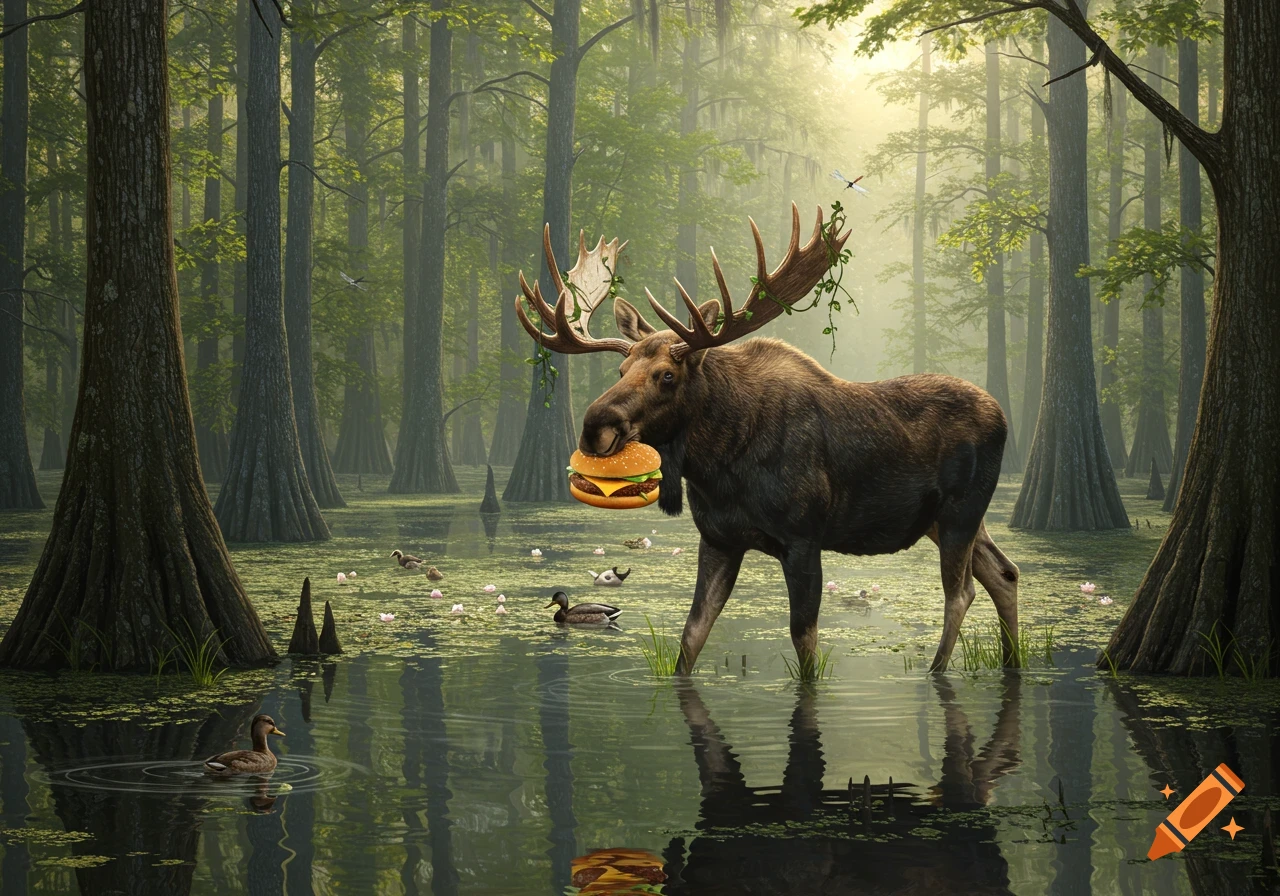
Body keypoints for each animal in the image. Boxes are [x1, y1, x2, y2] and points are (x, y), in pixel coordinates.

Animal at [515, 204, 1020, 674]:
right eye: (621, 370)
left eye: (666, 375)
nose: (594, 427)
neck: (718, 465)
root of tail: (1002, 417)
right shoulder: (718, 538)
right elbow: (692, 634)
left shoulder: (803, 538)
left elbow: (805, 641)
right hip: (943, 519)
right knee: (1005, 573)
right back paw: (1011, 661)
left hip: (961, 510)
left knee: (961, 591)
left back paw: (936, 671)